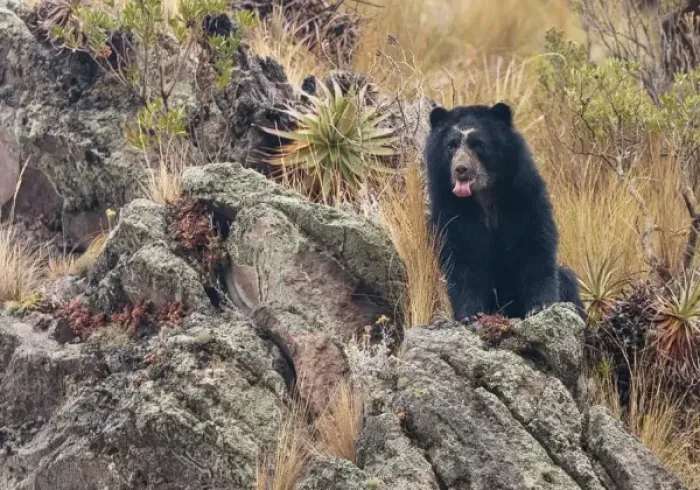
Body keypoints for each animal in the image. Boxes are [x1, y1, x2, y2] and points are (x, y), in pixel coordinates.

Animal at [424, 102, 586, 321]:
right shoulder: (451, 210)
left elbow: (535, 246)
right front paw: (470, 315)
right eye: (451, 146)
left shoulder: (524, 198)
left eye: (479, 145)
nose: (461, 169)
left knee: (567, 279)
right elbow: (462, 256)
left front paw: (540, 306)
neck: (484, 195)